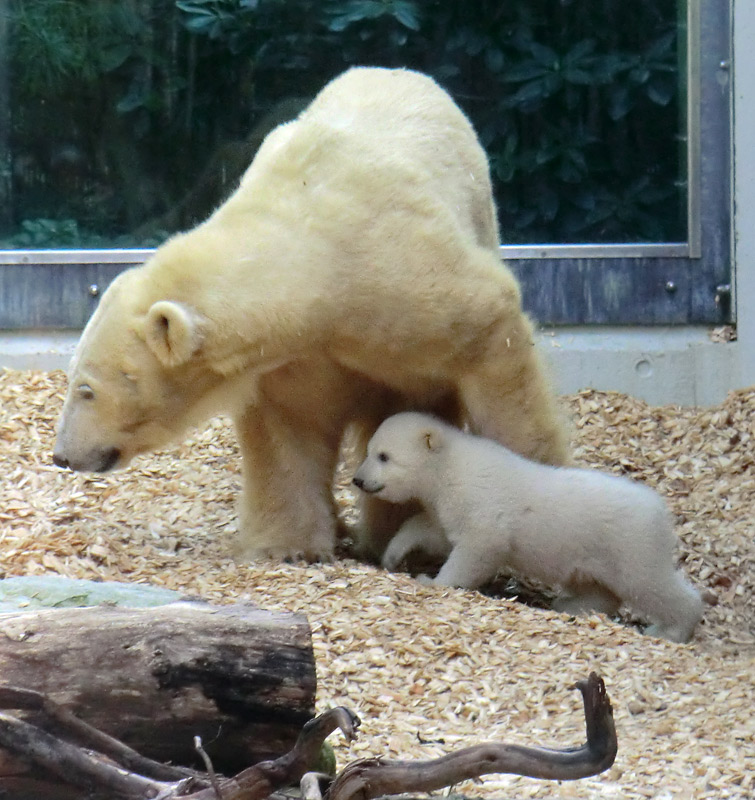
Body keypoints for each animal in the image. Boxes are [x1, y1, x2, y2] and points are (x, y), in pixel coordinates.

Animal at [53, 65, 568, 560]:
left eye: (87, 389)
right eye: (73, 377)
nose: (62, 455)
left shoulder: (413, 285)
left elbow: (497, 358)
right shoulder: (294, 357)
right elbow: (290, 430)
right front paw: (288, 546)